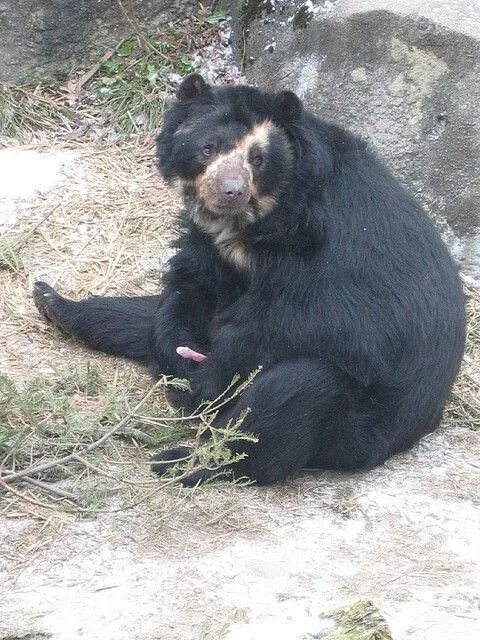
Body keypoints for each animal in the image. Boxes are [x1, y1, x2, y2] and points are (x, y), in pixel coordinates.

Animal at [32, 74, 464, 484]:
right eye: (207, 148)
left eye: (257, 159)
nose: (231, 191)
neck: (260, 221)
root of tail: (418, 428)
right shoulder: (216, 251)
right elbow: (193, 283)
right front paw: (178, 354)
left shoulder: (332, 253)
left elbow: (332, 324)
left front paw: (208, 379)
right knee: (144, 318)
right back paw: (54, 302)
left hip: (360, 427)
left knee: (294, 391)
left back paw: (188, 462)